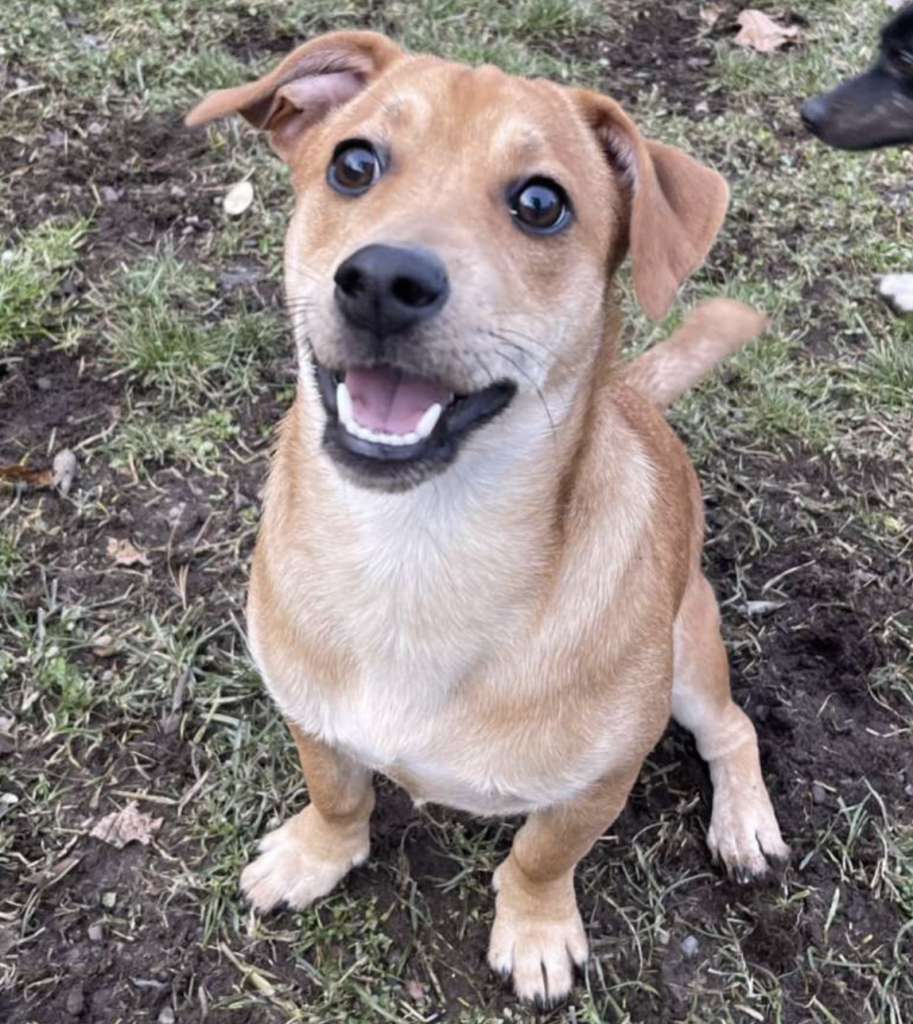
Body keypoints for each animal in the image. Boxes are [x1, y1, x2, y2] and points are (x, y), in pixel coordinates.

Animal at [189, 34, 790, 1007]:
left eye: (540, 204)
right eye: (353, 164)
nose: (383, 280)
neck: (417, 548)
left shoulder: (597, 780)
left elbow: (541, 856)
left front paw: (536, 930)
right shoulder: (309, 712)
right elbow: (339, 795)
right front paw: (316, 854)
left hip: (688, 657)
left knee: (732, 729)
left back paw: (743, 824)